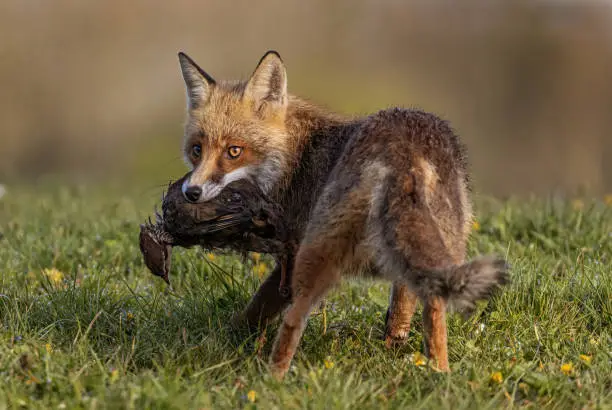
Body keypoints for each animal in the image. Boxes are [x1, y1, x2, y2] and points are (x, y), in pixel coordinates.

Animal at [175, 49, 510, 380]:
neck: (296, 158)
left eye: (234, 151)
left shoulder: (291, 256)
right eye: (196, 150)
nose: (191, 192)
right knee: (436, 310)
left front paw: (216, 342)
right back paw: (440, 374)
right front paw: (395, 346)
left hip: (316, 258)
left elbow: (256, 308)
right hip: (446, 249)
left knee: (293, 321)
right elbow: (401, 310)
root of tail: (403, 154)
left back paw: (271, 381)